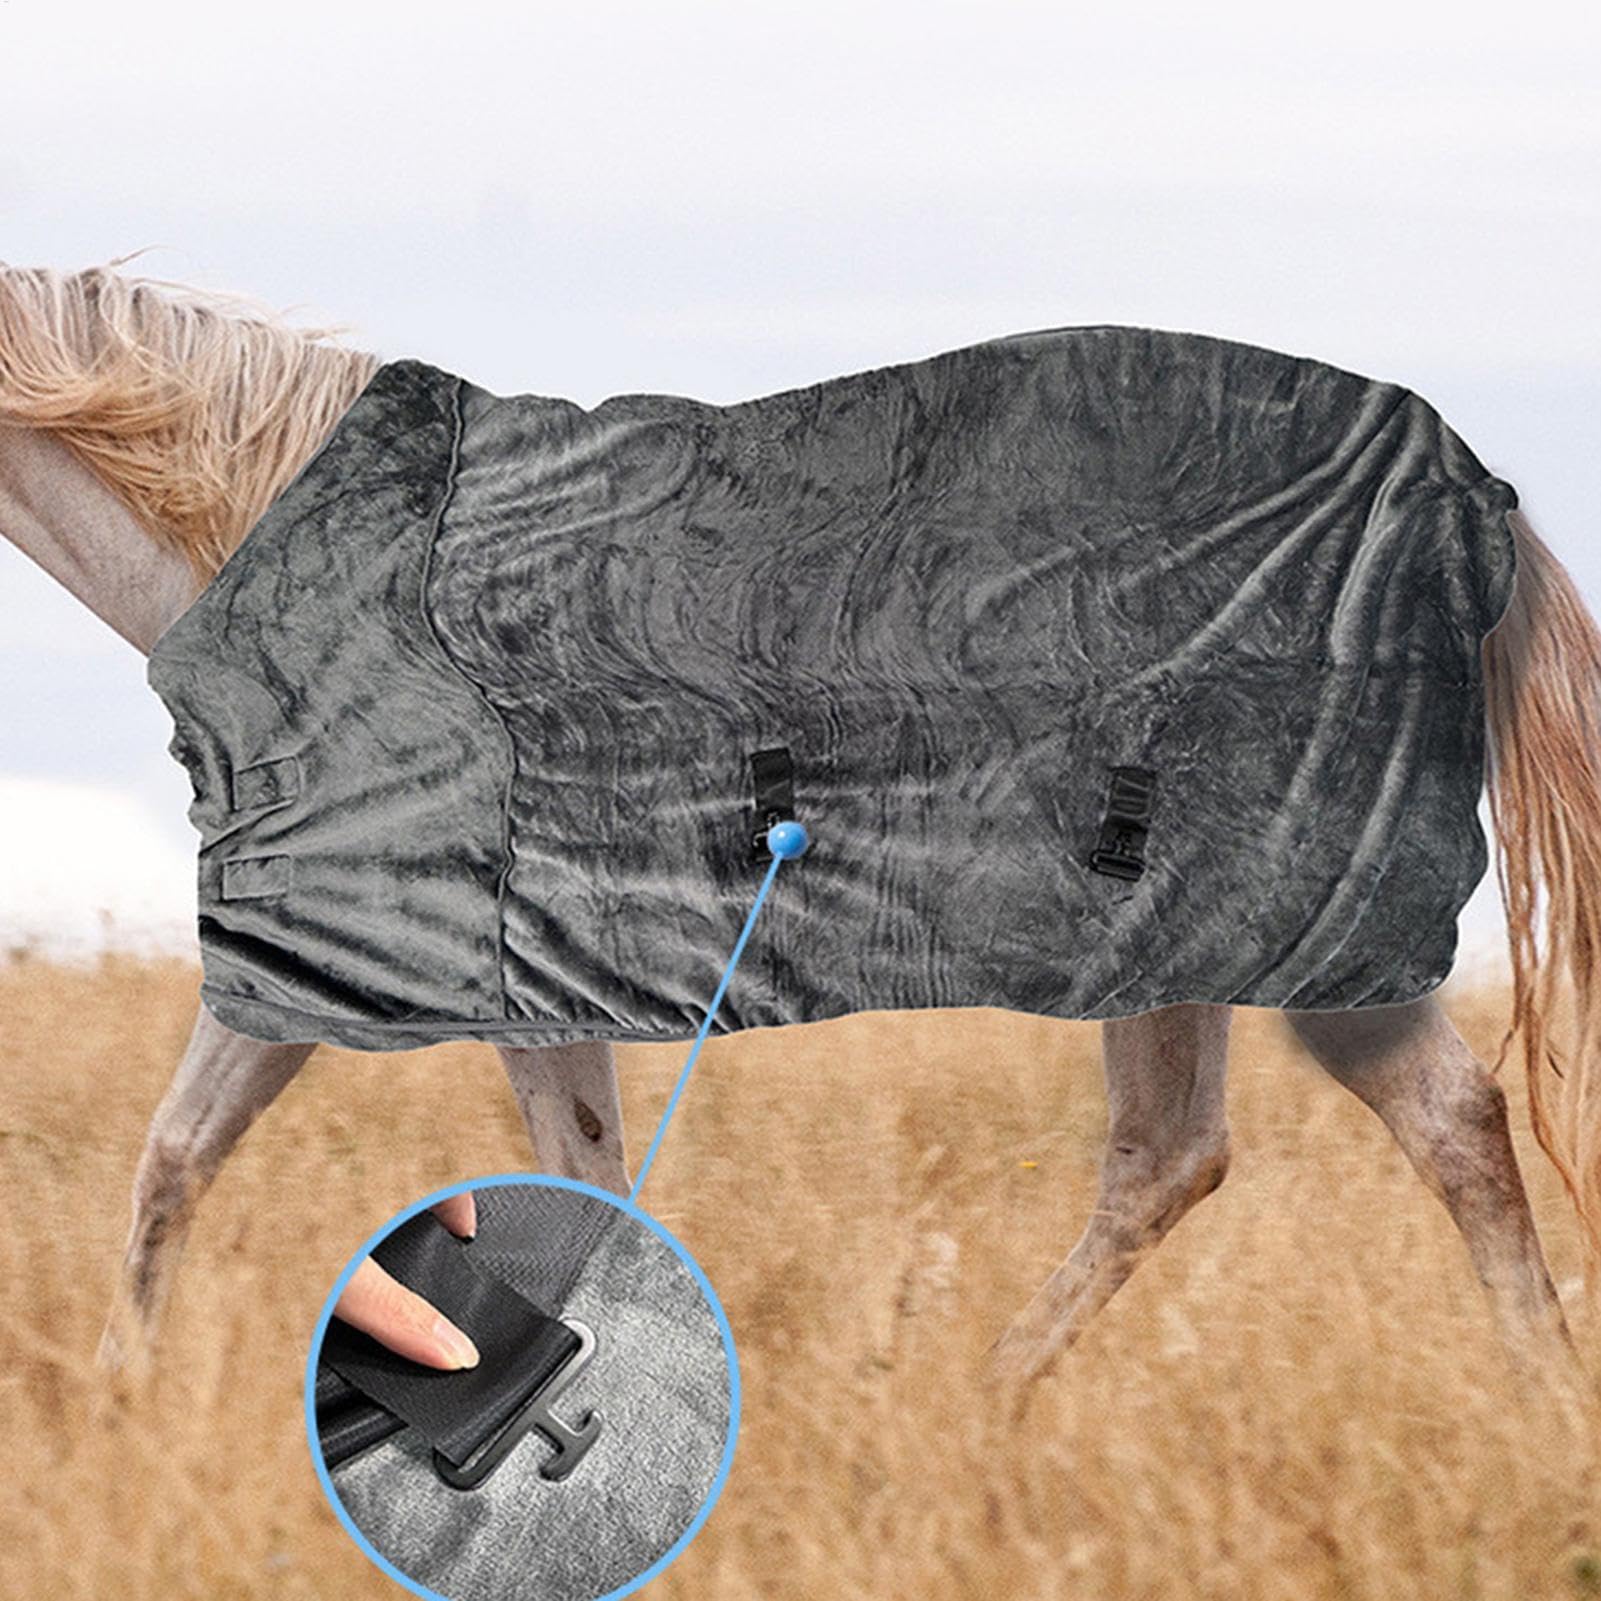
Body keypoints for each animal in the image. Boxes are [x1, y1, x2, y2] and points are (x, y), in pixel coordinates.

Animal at [2, 260, 1596, 1392]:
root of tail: (1461, 488)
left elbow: (550, 1179)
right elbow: (182, 1155)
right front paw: (121, 1404)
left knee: (1287, 1142)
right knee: (1308, 1139)